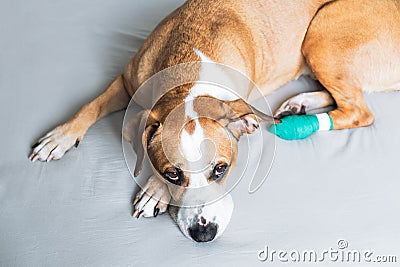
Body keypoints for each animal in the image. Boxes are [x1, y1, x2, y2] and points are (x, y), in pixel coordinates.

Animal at [28, 0, 400, 243]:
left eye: (221, 170)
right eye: (173, 173)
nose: (203, 232)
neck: (188, 72)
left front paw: (151, 193)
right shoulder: (126, 81)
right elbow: (90, 105)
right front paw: (59, 137)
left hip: (323, 31)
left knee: (359, 110)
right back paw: (300, 104)